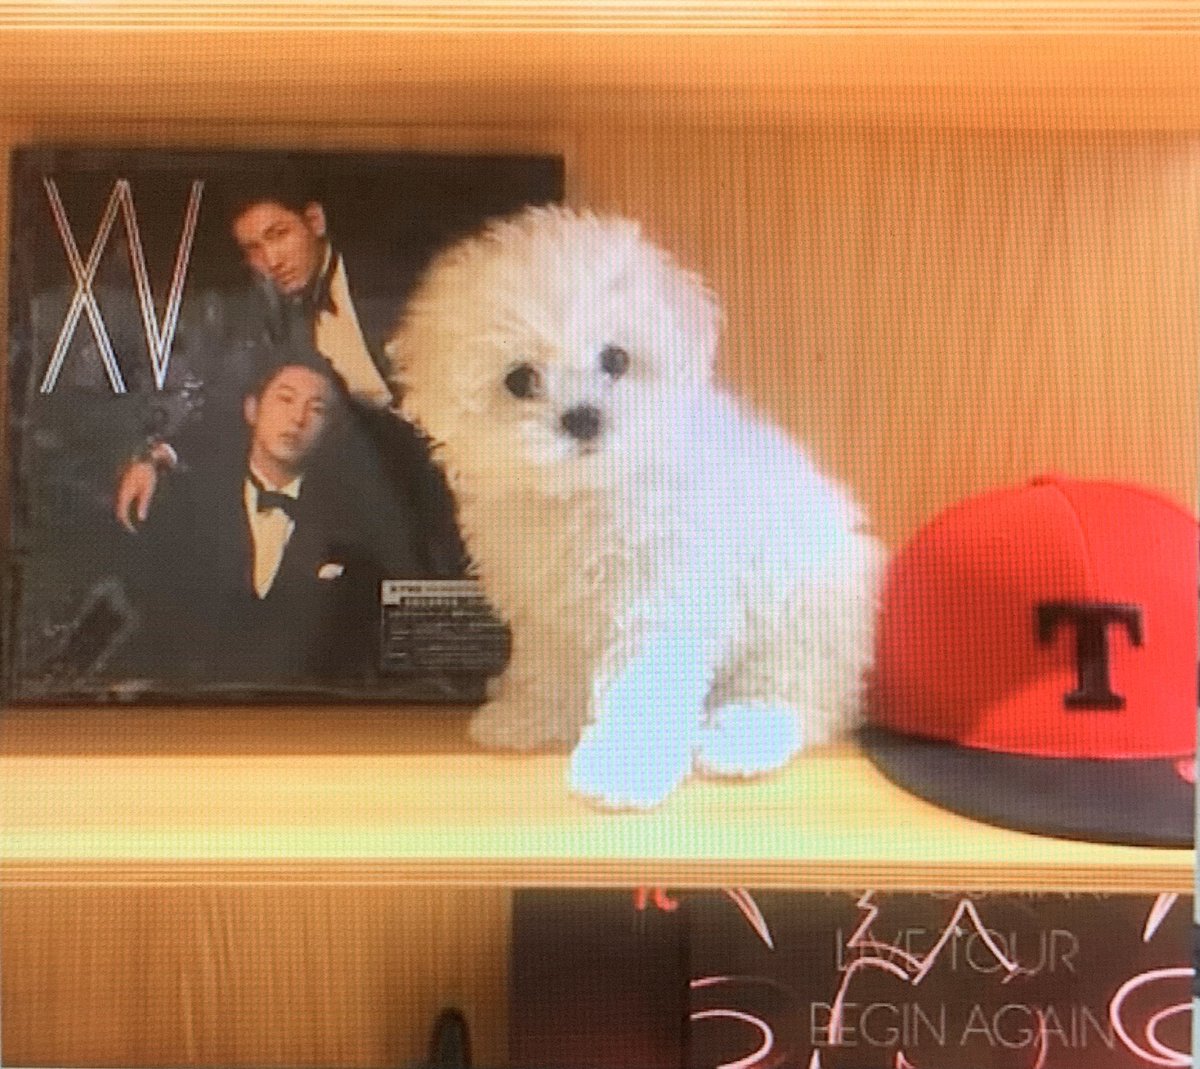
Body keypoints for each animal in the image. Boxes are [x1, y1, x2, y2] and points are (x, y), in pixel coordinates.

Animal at [388, 205, 888, 811]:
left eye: (616, 358)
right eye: (520, 379)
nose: (583, 417)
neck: (588, 493)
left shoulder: (663, 599)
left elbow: (645, 687)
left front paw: (622, 771)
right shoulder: (544, 604)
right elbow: (545, 665)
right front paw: (529, 716)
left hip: (803, 614)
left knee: (799, 697)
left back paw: (738, 740)